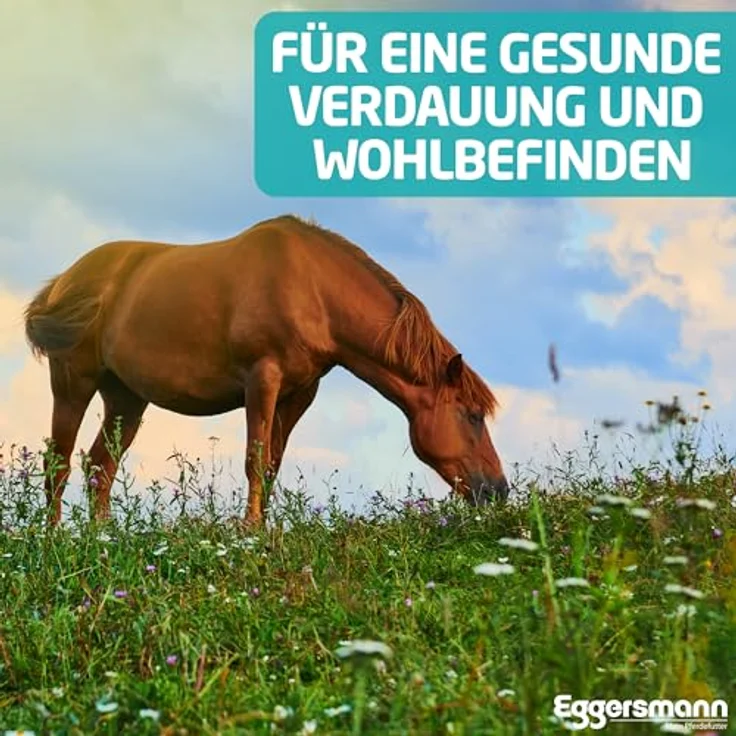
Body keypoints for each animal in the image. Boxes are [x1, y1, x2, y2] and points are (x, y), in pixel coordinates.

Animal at [24, 214, 509, 526]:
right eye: (472, 415)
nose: (498, 490)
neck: (313, 290)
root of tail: (64, 282)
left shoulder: (299, 392)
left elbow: (272, 463)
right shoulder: (262, 380)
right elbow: (255, 460)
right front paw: (250, 533)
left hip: (126, 398)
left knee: (99, 469)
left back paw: (102, 542)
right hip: (73, 382)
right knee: (58, 463)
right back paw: (55, 542)